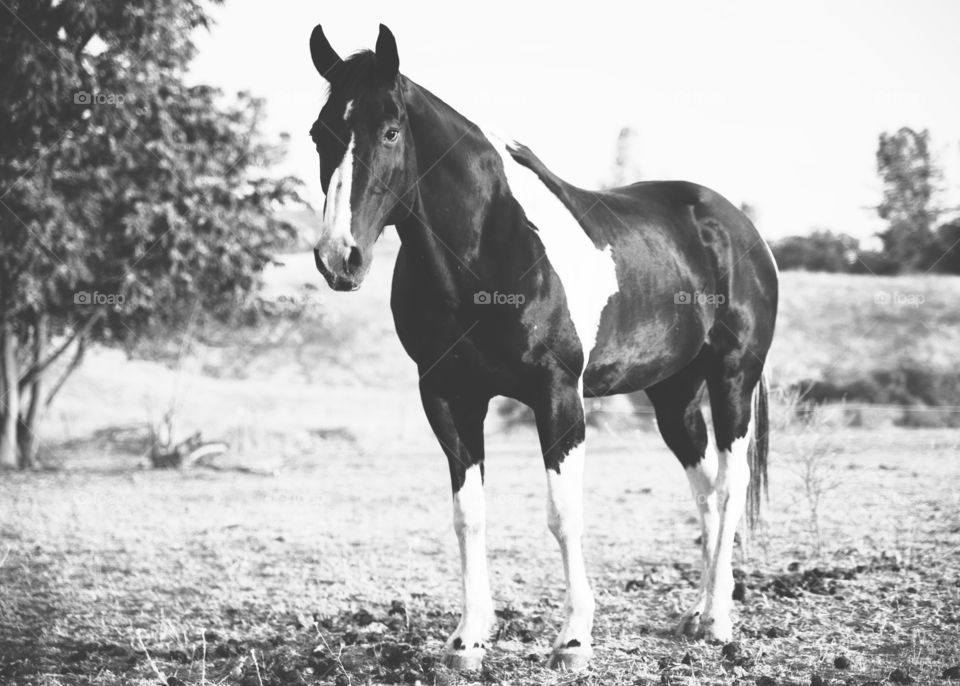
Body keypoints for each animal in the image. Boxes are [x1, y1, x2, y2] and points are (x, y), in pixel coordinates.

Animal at [308, 25, 780, 672]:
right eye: (318, 132)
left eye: (390, 131)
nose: (339, 257)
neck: (487, 249)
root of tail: (735, 224)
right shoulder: (448, 397)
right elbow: (468, 516)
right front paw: (468, 638)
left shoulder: (558, 396)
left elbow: (563, 516)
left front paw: (574, 639)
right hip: (673, 394)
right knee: (705, 490)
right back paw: (699, 611)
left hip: (733, 378)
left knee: (729, 490)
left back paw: (718, 621)